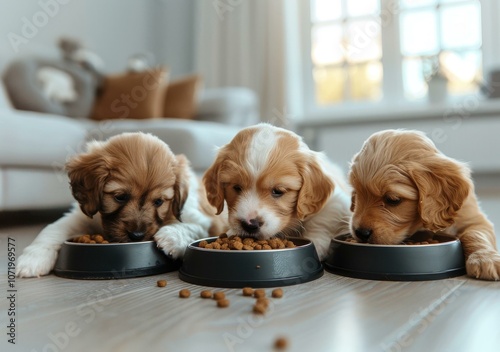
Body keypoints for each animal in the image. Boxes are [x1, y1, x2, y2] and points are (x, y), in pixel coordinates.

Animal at [16, 132, 226, 278]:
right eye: (120, 197)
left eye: (158, 202)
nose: (137, 236)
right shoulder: (81, 217)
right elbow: (52, 229)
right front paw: (32, 260)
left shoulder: (204, 221)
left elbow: (189, 227)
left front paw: (171, 237)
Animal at [201, 123, 350, 258]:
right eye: (236, 187)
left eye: (278, 191)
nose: (250, 225)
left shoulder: (335, 202)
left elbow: (322, 220)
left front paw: (316, 243)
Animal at [350, 129, 498, 280]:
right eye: (357, 194)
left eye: (393, 199)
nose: (361, 233)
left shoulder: (473, 218)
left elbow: (475, 234)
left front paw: (484, 259)